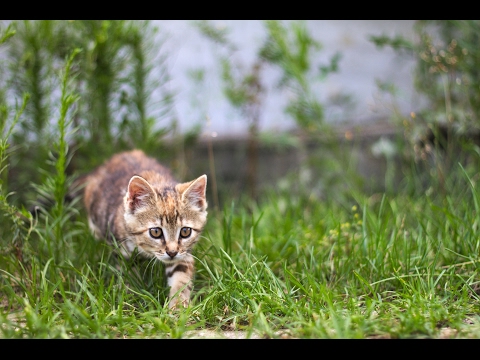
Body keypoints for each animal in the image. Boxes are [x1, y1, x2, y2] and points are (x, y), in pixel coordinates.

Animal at [81, 150, 208, 310]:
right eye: (156, 232)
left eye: (185, 232)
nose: (172, 252)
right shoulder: (123, 251)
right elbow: (128, 276)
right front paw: (129, 300)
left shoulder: (183, 254)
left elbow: (181, 278)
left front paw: (178, 307)